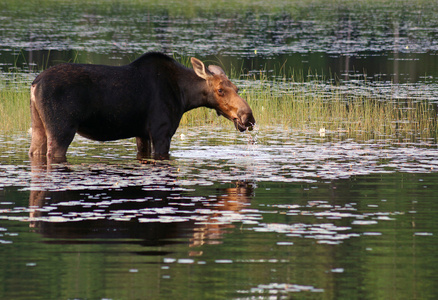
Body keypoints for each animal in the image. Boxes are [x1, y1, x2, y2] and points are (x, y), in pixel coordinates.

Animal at [29, 54, 255, 162]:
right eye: (220, 90)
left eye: (236, 88)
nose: (248, 117)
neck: (185, 98)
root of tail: (34, 85)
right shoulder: (161, 132)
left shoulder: (142, 134)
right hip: (62, 129)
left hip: (39, 127)